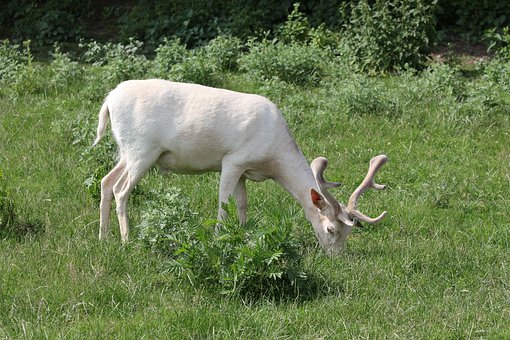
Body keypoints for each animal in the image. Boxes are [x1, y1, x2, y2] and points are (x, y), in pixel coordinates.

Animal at [93, 79, 386, 255]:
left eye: (349, 231)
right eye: (331, 230)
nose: (336, 257)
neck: (272, 157)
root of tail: (108, 101)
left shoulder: (245, 171)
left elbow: (243, 204)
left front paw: (244, 235)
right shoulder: (232, 159)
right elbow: (224, 203)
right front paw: (218, 239)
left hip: (126, 151)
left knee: (106, 181)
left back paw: (103, 237)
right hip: (142, 150)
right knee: (121, 190)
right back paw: (127, 241)